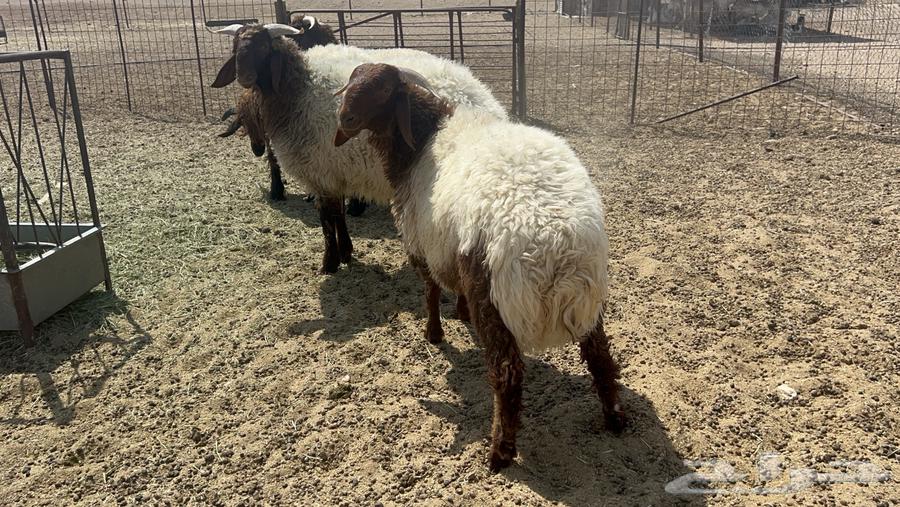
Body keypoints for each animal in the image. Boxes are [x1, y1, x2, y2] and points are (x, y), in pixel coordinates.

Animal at [210, 23, 508, 274]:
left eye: (262, 47)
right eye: (236, 47)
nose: (244, 76)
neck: (298, 90)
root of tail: (487, 101)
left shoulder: (320, 173)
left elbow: (326, 219)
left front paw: (329, 263)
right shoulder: (336, 173)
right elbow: (337, 215)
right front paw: (345, 253)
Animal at [332, 63, 626, 471]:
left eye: (383, 89)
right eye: (352, 82)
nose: (345, 118)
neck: (421, 140)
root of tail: (558, 249)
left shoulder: (422, 246)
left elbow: (431, 291)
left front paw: (434, 333)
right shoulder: (447, 246)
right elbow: (450, 289)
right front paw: (459, 314)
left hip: (494, 296)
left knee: (507, 374)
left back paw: (500, 450)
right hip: (589, 303)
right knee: (600, 358)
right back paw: (614, 417)